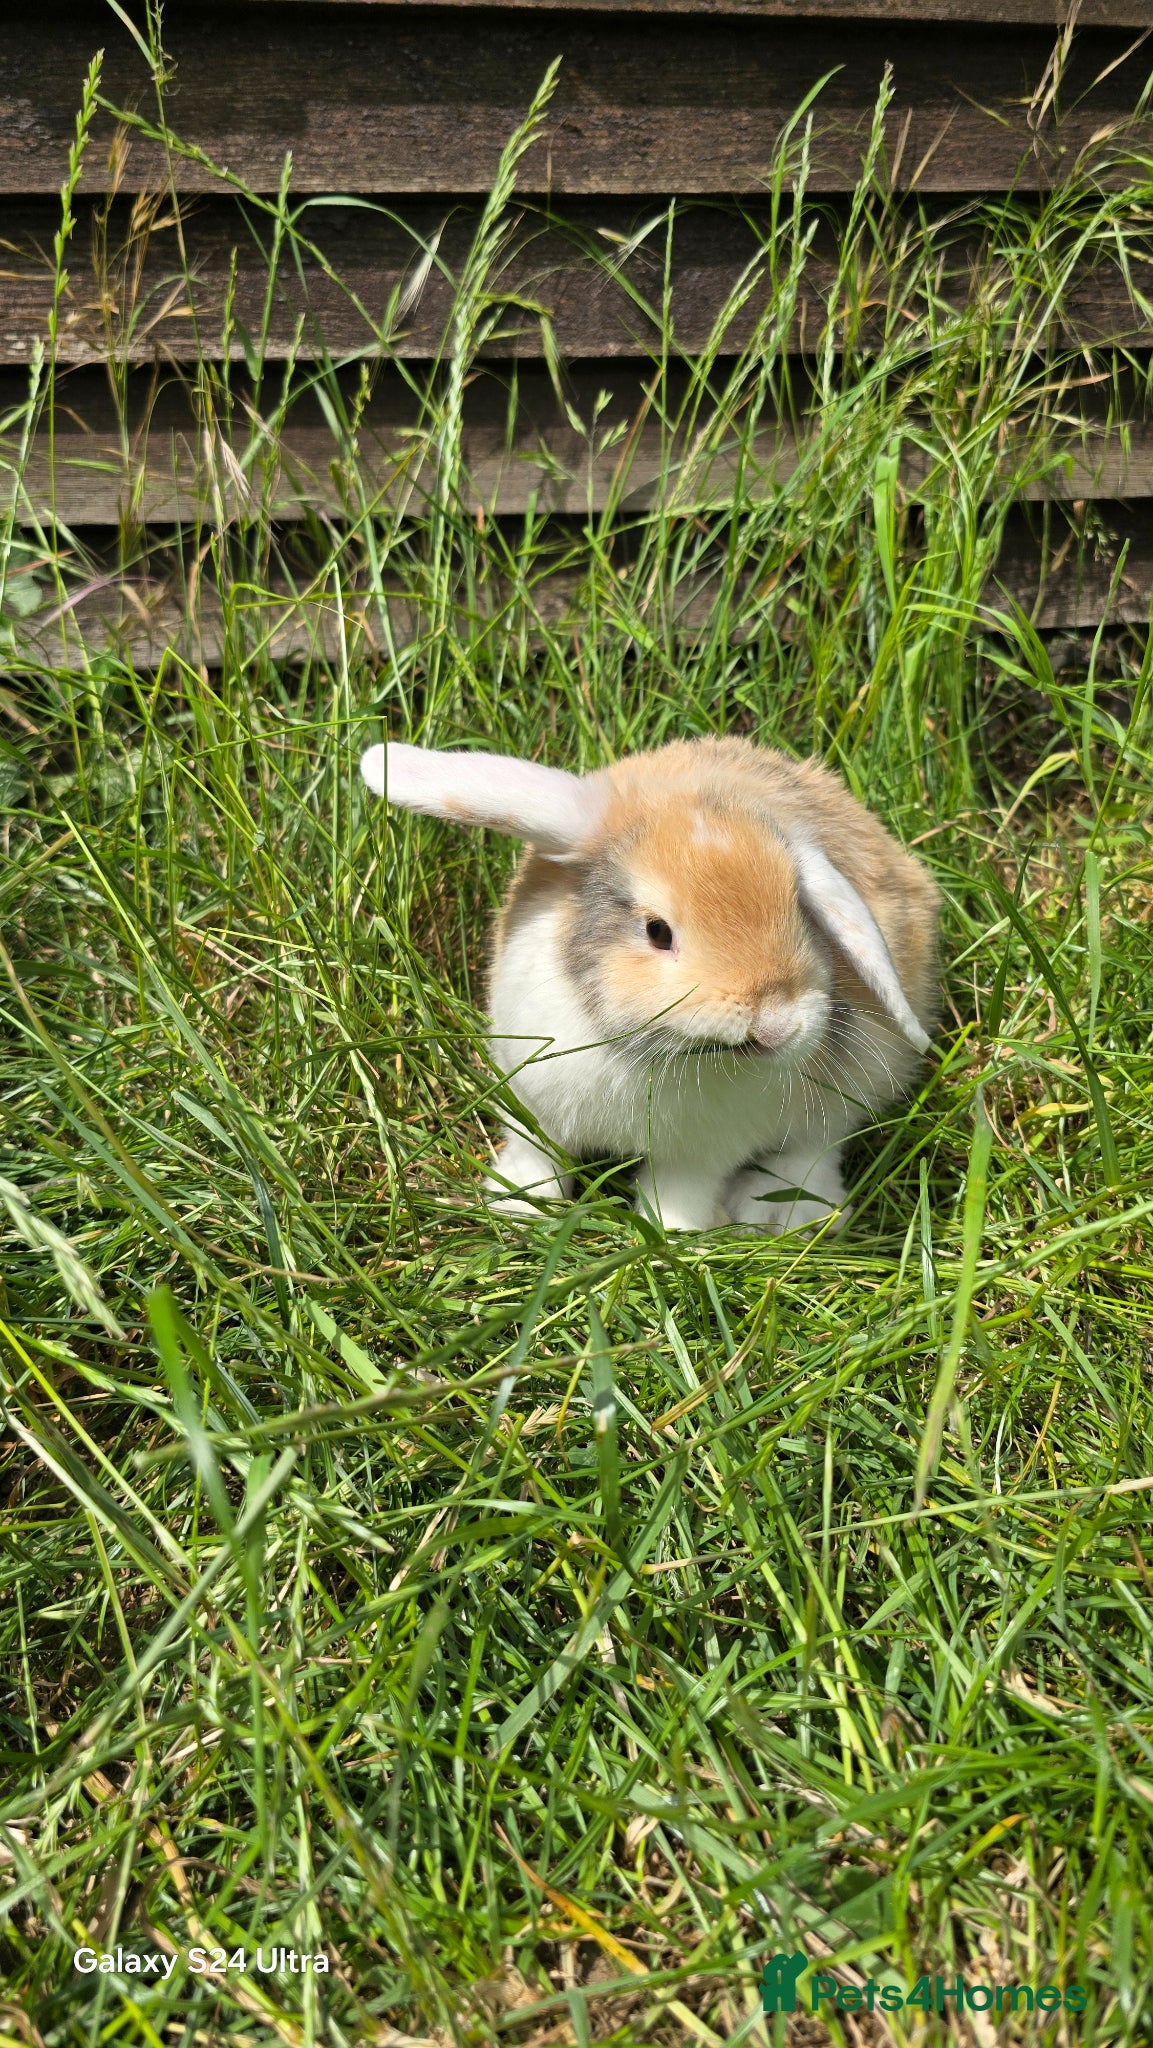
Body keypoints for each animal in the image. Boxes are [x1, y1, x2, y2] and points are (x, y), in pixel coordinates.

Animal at [361, 735, 939, 1233]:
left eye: (799, 910)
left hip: (851, 1090)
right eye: (657, 931)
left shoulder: (700, 1154)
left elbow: (679, 1193)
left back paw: (782, 1215)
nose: (776, 1021)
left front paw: (677, 1238)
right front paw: (520, 1210)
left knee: (816, 1148)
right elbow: (537, 1157)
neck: (648, 1051)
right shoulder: (530, 1102)